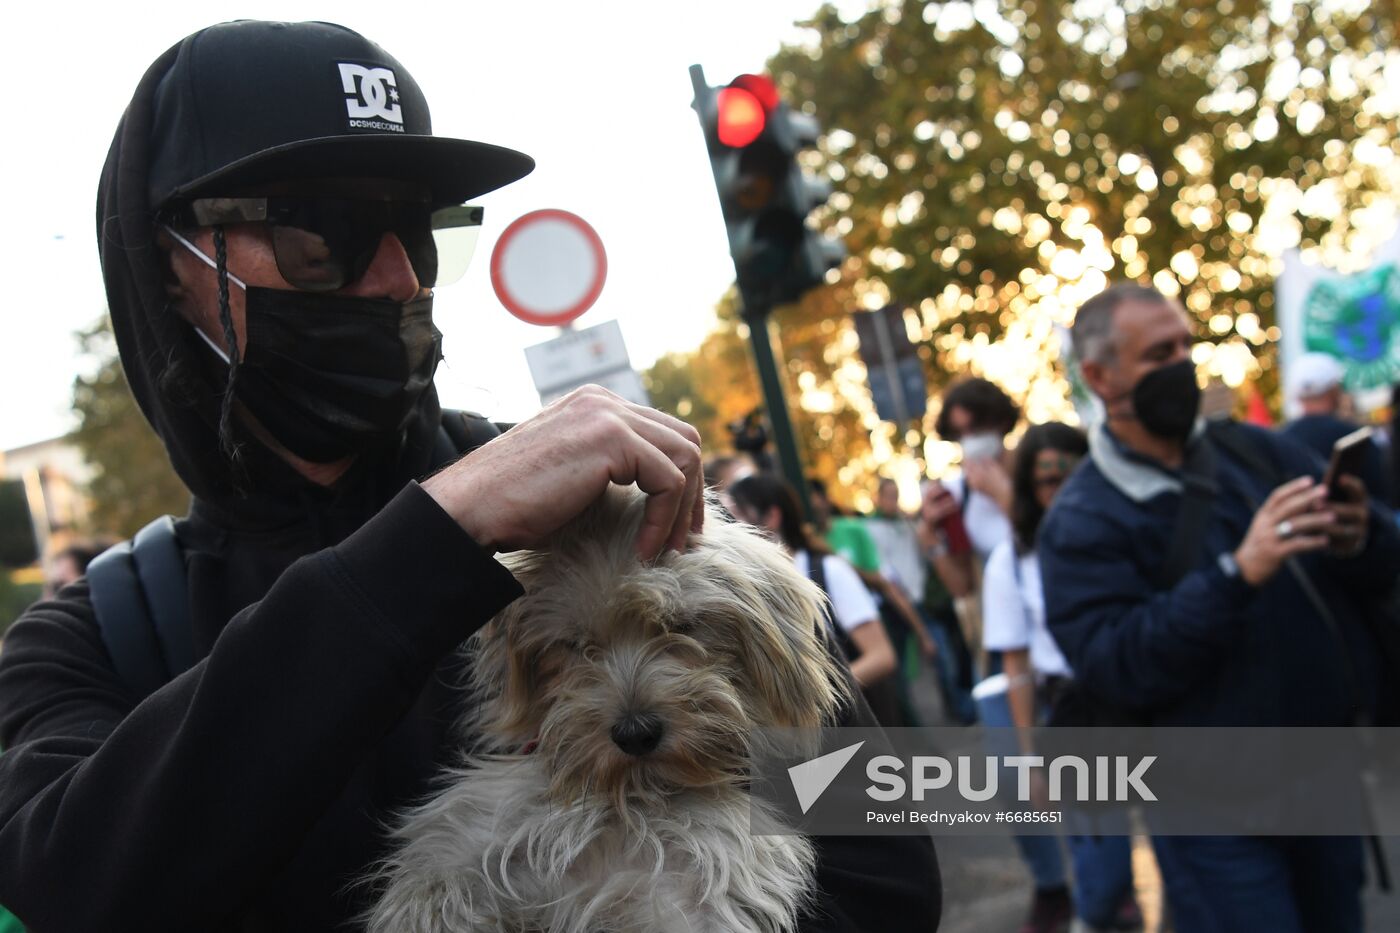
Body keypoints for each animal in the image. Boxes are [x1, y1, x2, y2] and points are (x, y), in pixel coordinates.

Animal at [366, 481, 845, 924]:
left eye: (681, 626)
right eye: (576, 645)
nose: (635, 735)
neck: (630, 804)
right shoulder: (465, 845)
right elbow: (433, 892)